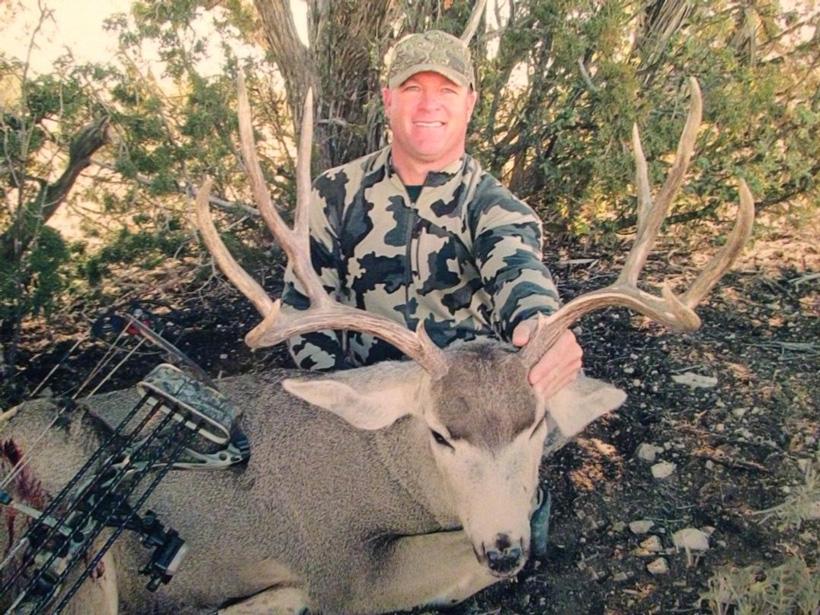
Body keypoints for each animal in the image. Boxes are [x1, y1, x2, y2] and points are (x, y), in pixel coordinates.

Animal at [0, 75, 753, 614]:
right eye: (441, 433)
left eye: (536, 424)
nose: (505, 547)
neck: (393, 471)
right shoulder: (342, 563)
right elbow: (441, 570)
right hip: (87, 573)